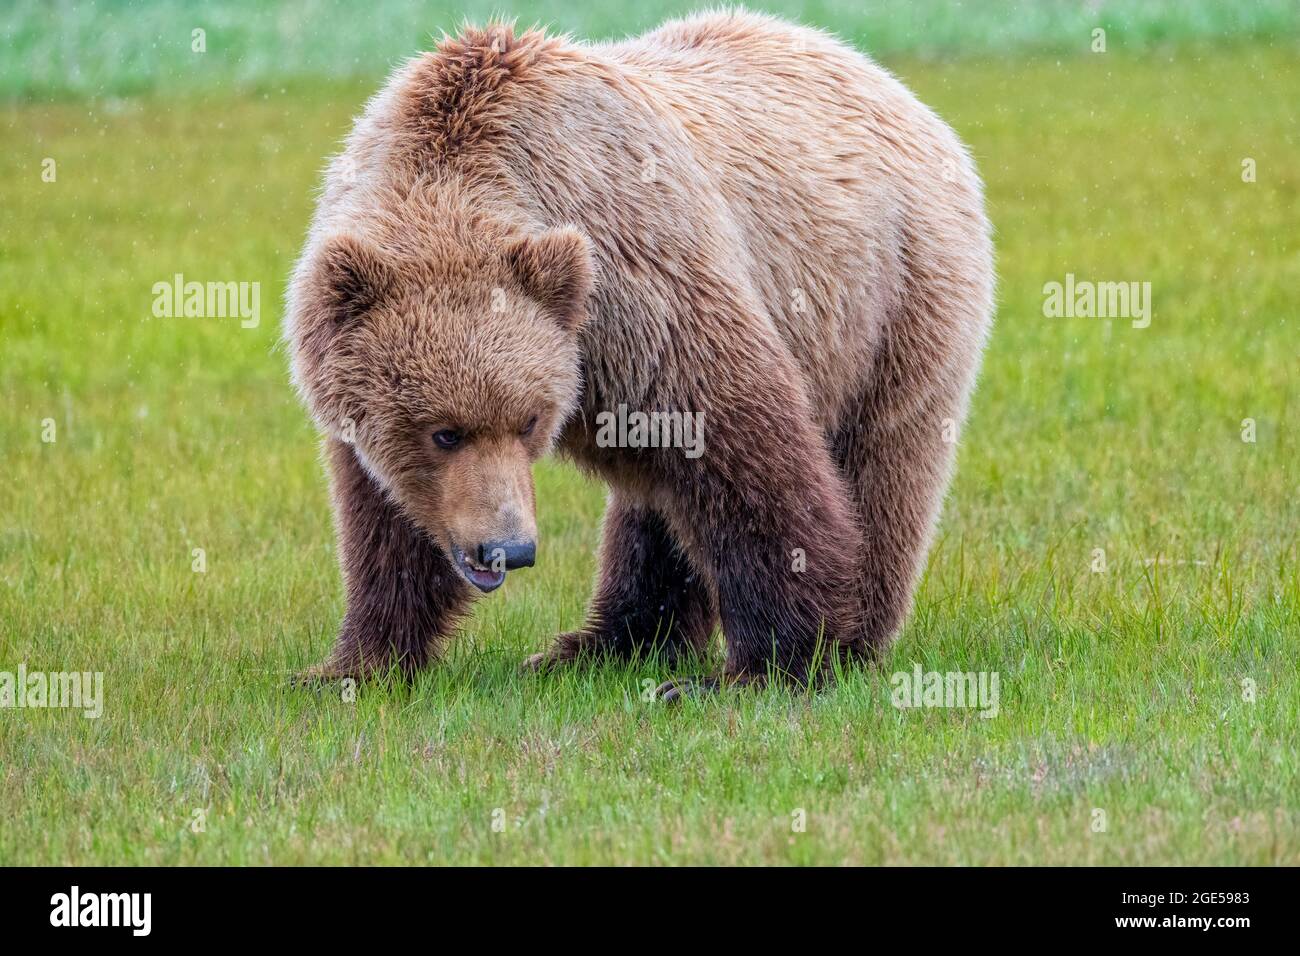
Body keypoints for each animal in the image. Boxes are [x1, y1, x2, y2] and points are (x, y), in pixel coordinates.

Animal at [284, 9, 994, 698]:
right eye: (444, 432)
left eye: (528, 421)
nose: (507, 549)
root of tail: (894, 87)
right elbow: (385, 517)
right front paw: (349, 665)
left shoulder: (639, 285)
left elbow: (738, 441)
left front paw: (773, 662)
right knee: (654, 508)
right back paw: (602, 646)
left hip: (892, 296)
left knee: (882, 462)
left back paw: (851, 639)